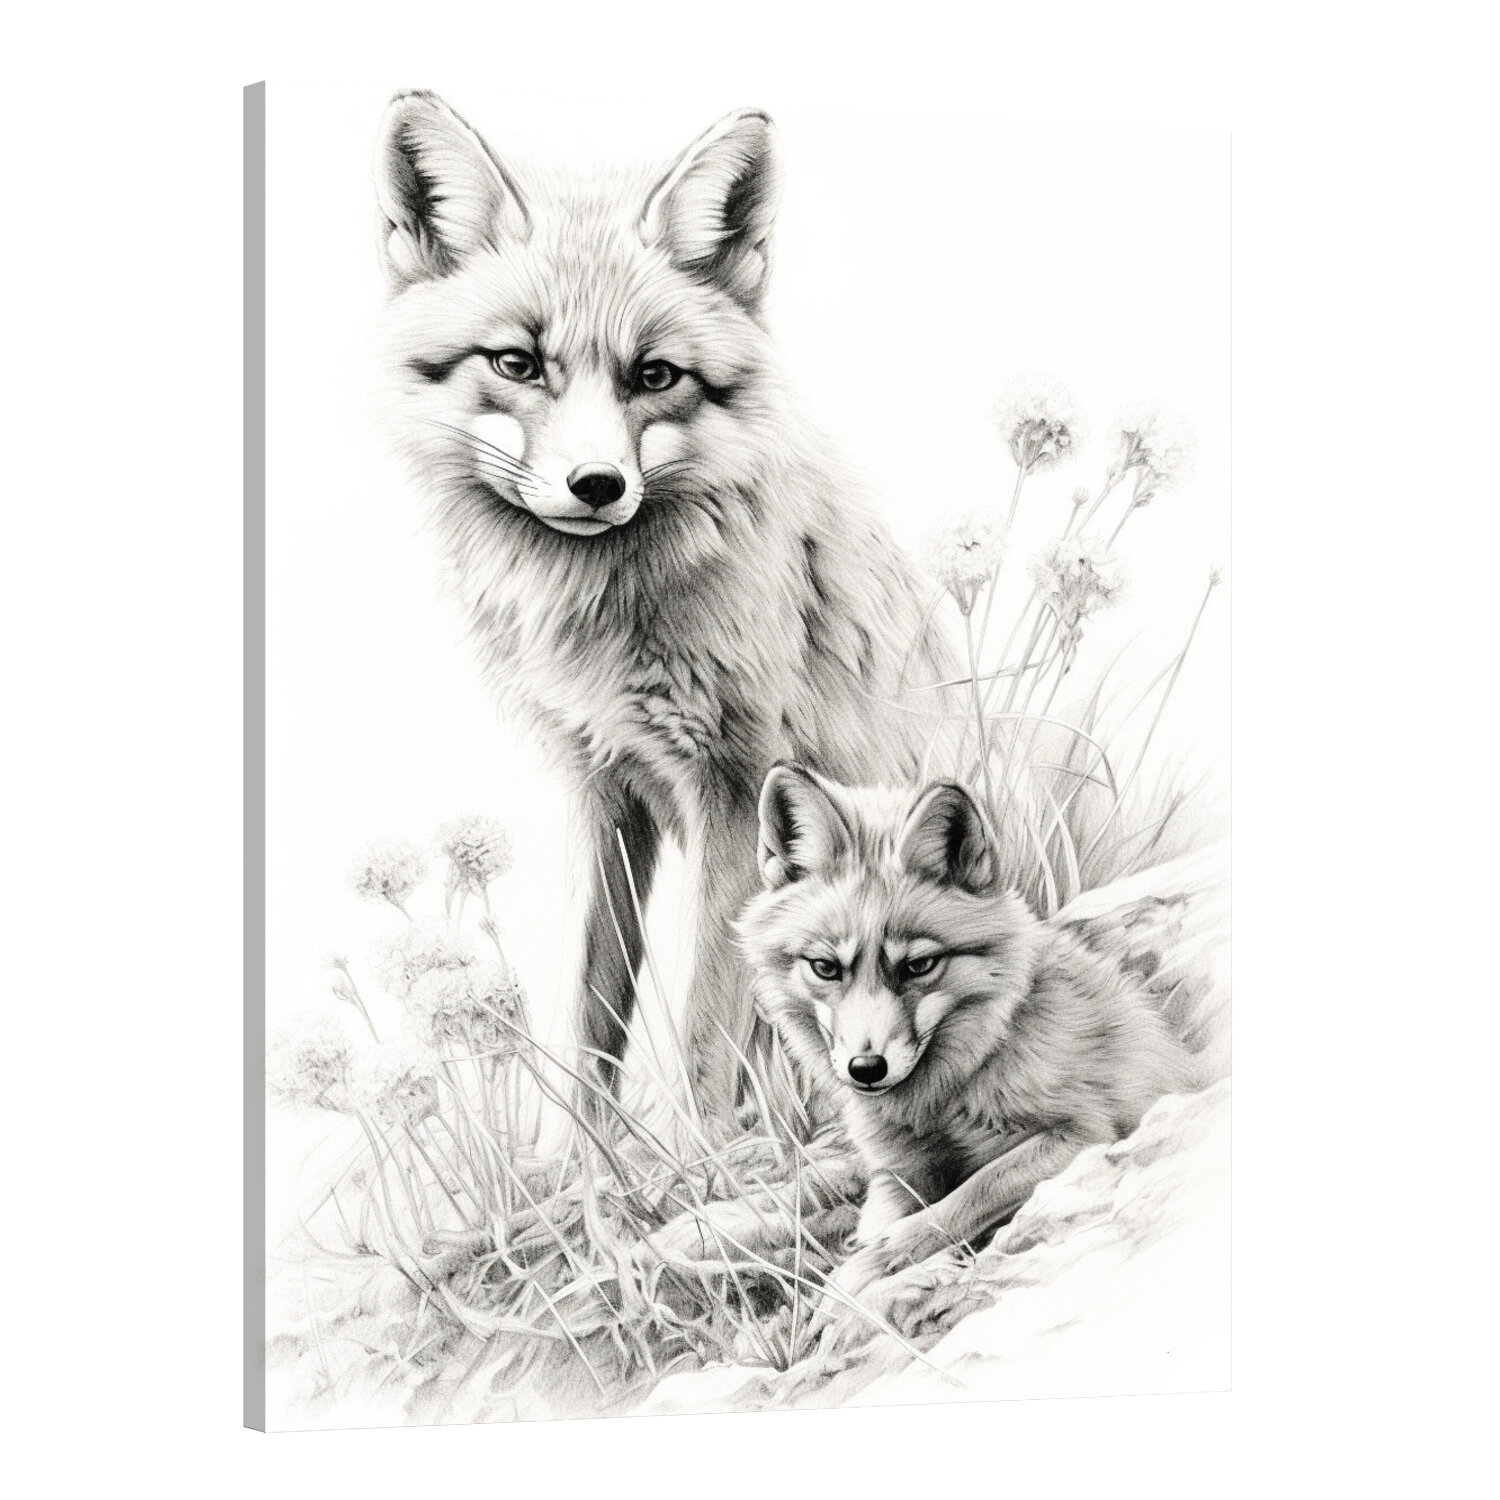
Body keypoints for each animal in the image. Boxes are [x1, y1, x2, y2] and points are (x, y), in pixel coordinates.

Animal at [371, 94, 953, 1122]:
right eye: (517, 363)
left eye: (654, 376)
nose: (597, 484)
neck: (604, 624)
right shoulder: (600, 788)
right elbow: (589, 1009)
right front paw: (579, 1163)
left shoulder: (739, 787)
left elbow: (707, 1027)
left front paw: (700, 1157)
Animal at [734, 763, 1204, 1312]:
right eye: (826, 968)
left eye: (919, 965)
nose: (866, 1070)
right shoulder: (896, 1173)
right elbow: (881, 1222)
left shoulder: (1087, 1133)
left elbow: (963, 1199)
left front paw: (860, 1279)